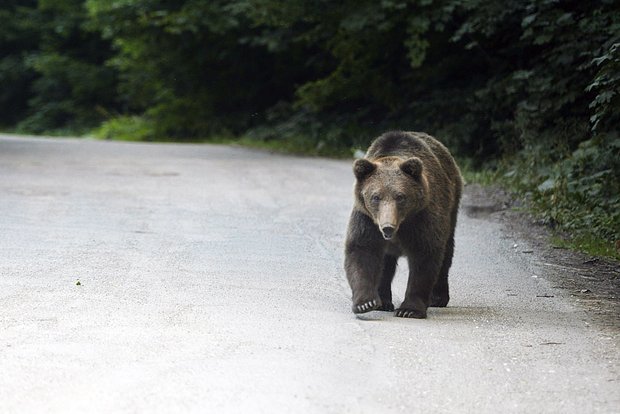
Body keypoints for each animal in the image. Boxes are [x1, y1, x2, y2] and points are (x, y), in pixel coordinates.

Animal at [344, 131, 460, 318]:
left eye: (400, 196)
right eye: (375, 197)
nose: (387, 226)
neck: (401, 225)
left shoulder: (422, 218)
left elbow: (425, 256)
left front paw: (409, 309)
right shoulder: (367, 220)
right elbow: (361, 251)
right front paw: (365, 303)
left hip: (451, 206)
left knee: (446, 253)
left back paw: (438, 298)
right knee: (386, 263)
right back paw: (384, 302)